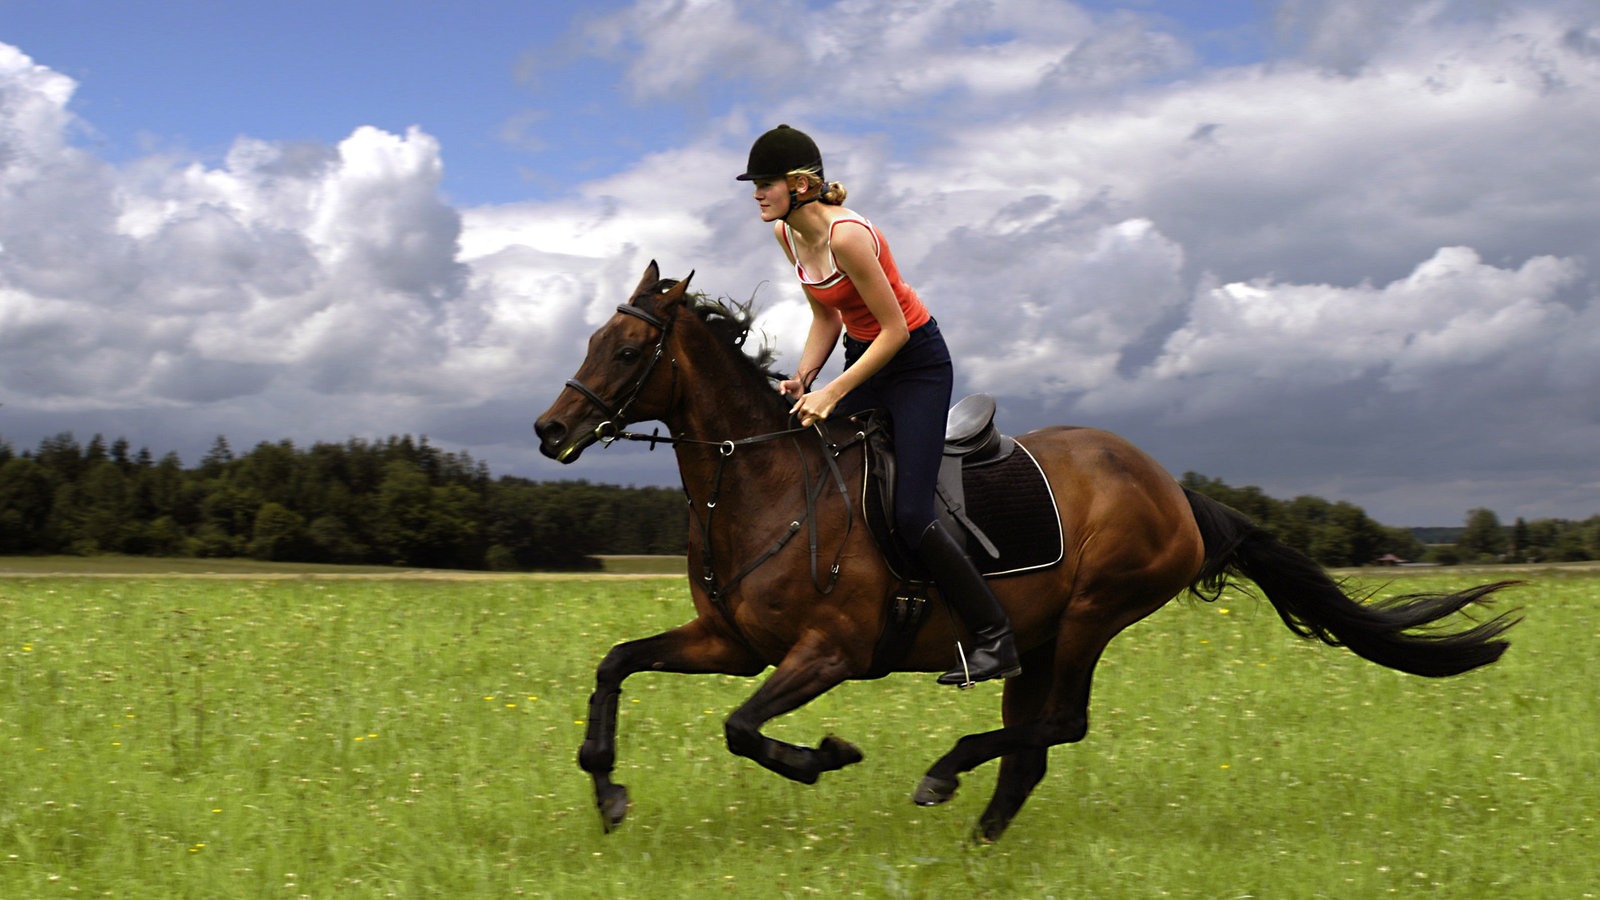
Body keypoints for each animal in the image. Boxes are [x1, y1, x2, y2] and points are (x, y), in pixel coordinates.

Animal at [531, 261, 1516, 839]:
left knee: (1056, 727)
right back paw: (975, 840)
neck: (762, 482)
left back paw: (943, 777)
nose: (549, 430)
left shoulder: (830, 652)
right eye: (593, 338)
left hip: (1092, 615)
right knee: (1033, 746)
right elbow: (617, 663)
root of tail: (1173, 488)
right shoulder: (734, 646)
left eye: (628, 348)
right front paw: (606, 788)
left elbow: (741, 730)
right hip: (1042, 637)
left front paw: (826, 758)